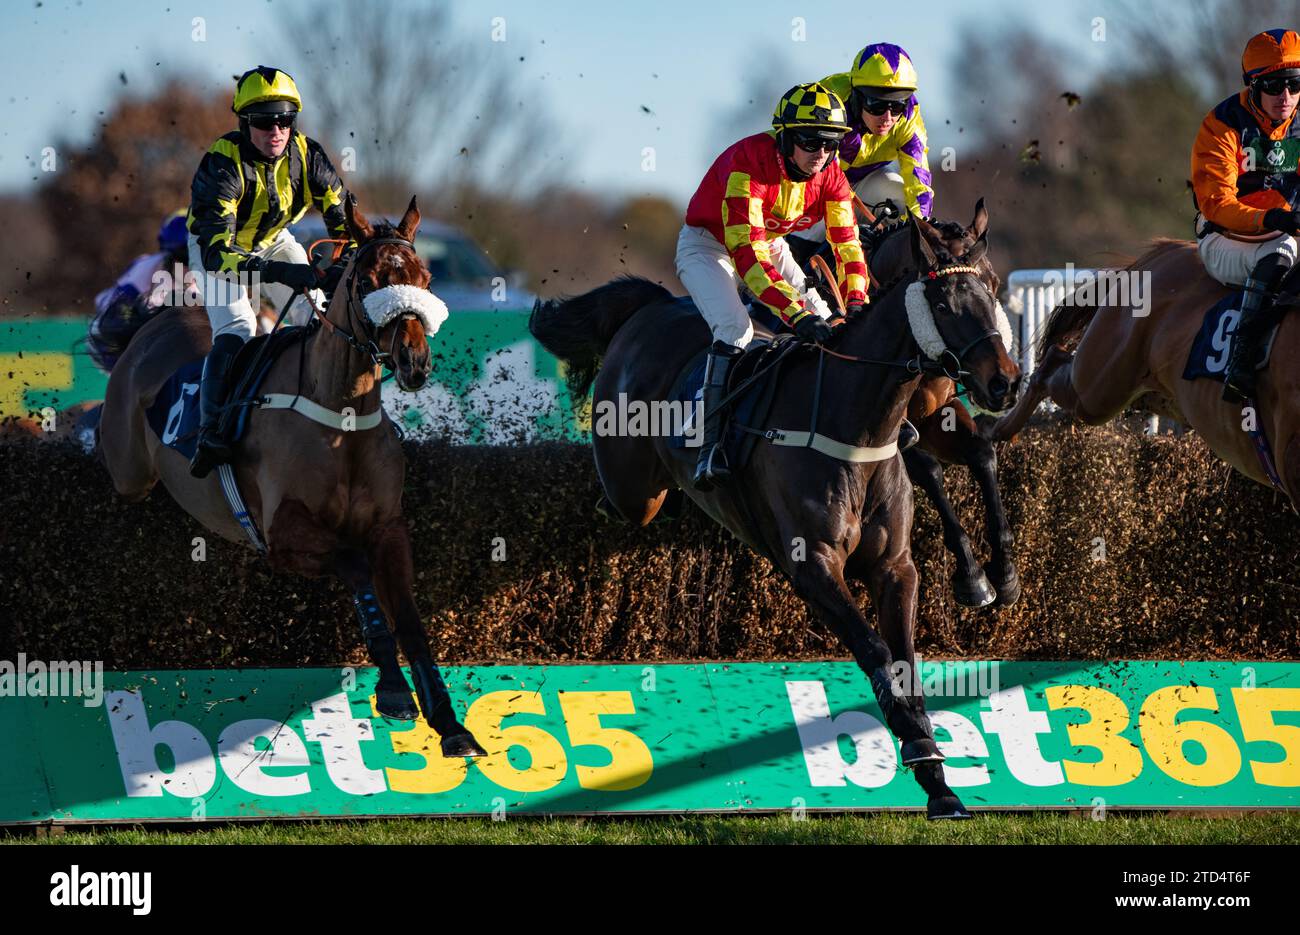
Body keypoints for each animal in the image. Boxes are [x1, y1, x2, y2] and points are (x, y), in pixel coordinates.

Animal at [100, 197, 488, 759]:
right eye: (368, 280)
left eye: (426, 277)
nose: (414, 362)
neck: (341, 418)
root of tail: (154, 323)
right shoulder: (282, 538)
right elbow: (354, 565)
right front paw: (393, 690)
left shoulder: (389, 527)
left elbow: (412, 620)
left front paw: (450, 722)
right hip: (130, 470)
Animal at [785, 201, 1019, 605]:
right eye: (943, 305)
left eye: (994, 285)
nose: (1002, 381)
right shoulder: (884, 432)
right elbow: (930, 469)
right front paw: (972, 575)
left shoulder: (938, 414)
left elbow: (983, 453)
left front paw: (1004, 570)